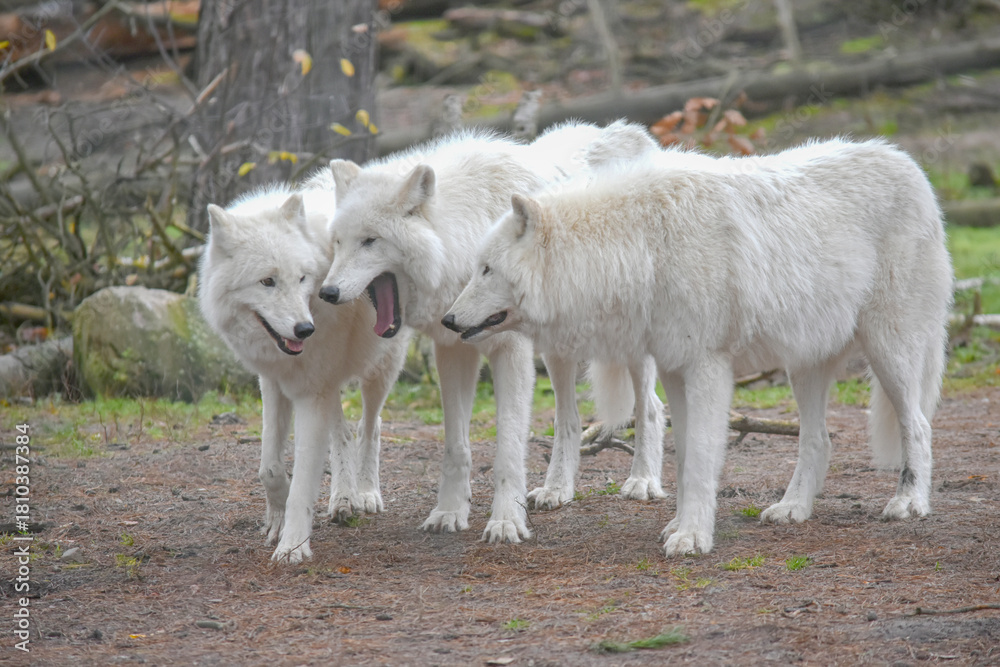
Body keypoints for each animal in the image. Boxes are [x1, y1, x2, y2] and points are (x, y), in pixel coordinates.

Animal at [199, 175, 408, 564]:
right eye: (267, 281)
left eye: (301, 278)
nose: (304, 329)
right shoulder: (274, 381)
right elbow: (270, 468)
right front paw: (276, 521)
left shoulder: (312, 394)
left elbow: (302, 484)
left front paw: (293, 546)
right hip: (333, 381)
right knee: (343, 433)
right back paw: (343, 499)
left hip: (380, 370)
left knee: (370, 427)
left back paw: (366, 493)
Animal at [318, 123, 667, 543]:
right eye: (339, 242)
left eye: (370, 240)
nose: (327, 292)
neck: (465, 237)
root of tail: (630, 132)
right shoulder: (453, 349)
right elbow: (456, 446)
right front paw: (450, 512)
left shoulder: (510, 352)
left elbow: (508, 449)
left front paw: (505, 521)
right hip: (558, 351)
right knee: (567, 419)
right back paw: (557, 490)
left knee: (651, 407)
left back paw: (643, 481)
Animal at [444, 135, 953, 557]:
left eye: (486, 269)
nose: (448, 320)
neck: (644, 246)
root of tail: (911, 166)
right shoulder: (673, 369)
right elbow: (686, 457)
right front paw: (679, 526)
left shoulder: (708, 369)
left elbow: (701, 459)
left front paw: (692, 537)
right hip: (804, 366)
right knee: (820, 440)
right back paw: (793, 508)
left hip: (889, 352)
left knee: (920, 426)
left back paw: (909, 501)